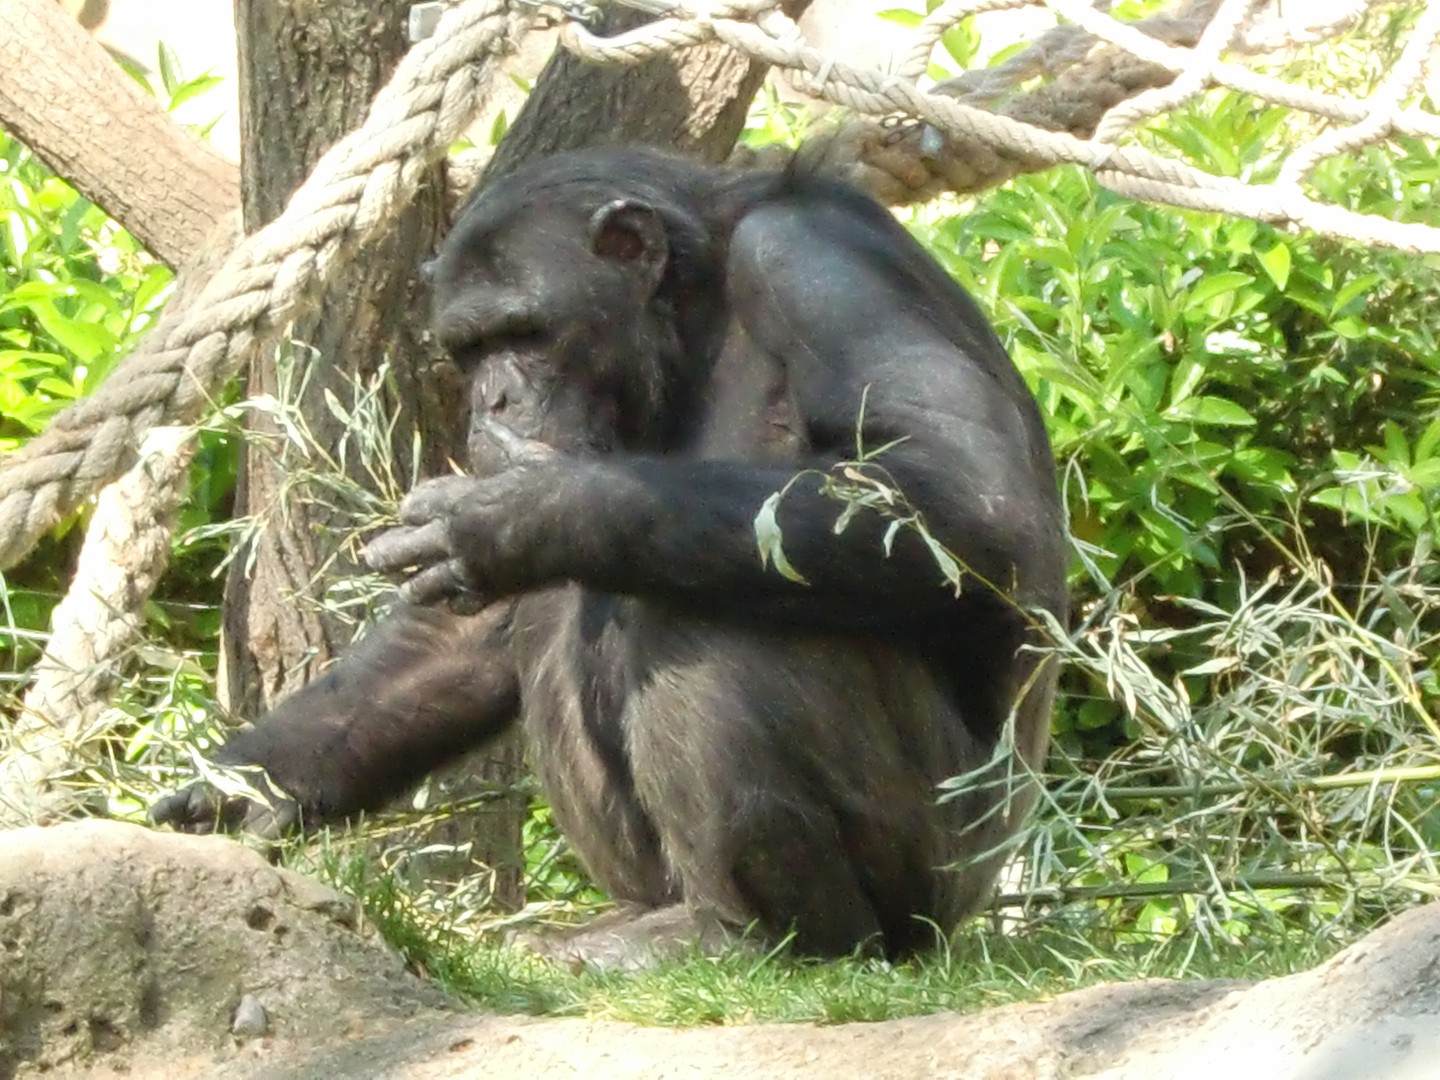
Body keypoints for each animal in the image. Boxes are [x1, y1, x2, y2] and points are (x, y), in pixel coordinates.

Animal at [154, 146, 1071, 961]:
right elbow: (453, 634)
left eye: (525, 331)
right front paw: (246, 787)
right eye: (469, 348)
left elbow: (961, 492)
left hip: (936, 873)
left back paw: (748, 936)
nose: (493, 398)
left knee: (715, 626)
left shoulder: (821, 262)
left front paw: (519, 512)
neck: (694, 319)